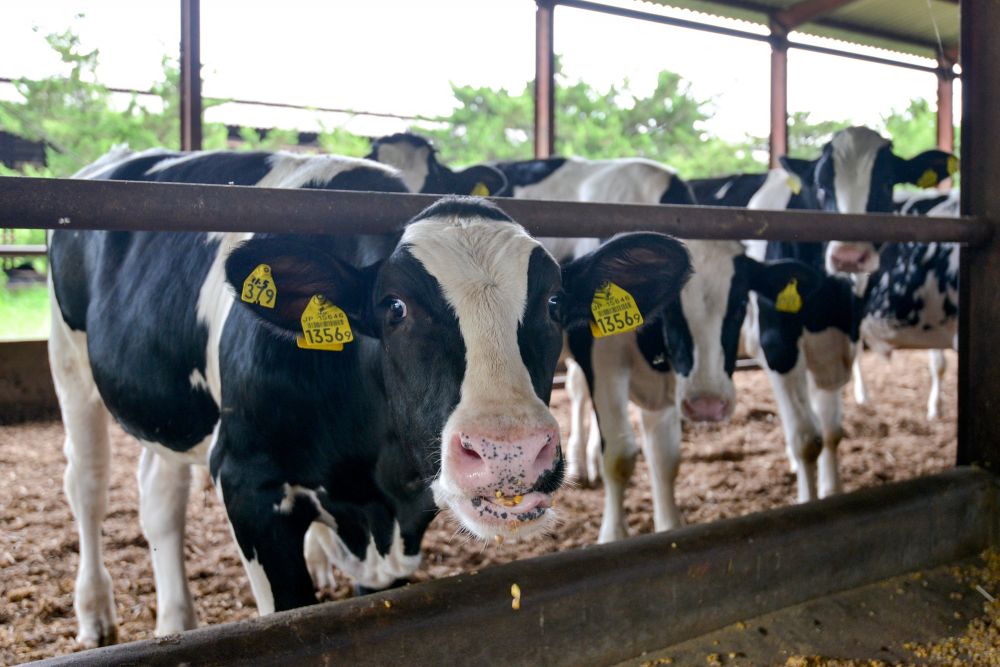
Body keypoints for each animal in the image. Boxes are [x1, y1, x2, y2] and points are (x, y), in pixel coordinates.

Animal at [48, 147, 696, 648]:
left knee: (159, 494)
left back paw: (175, 619)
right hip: (70, 364)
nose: (507, 452)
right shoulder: (246, 481)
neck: (377, 483)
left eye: (555, 303)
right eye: (394, 306)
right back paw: (96, 613)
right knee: (87, 484)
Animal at [372, 134, 824, 544]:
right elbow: (621, 455)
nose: (708, 403)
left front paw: (668, 524)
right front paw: (612, 534)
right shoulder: (602, 355)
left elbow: (666, 456)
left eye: (739, 303)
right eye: (673, 309)